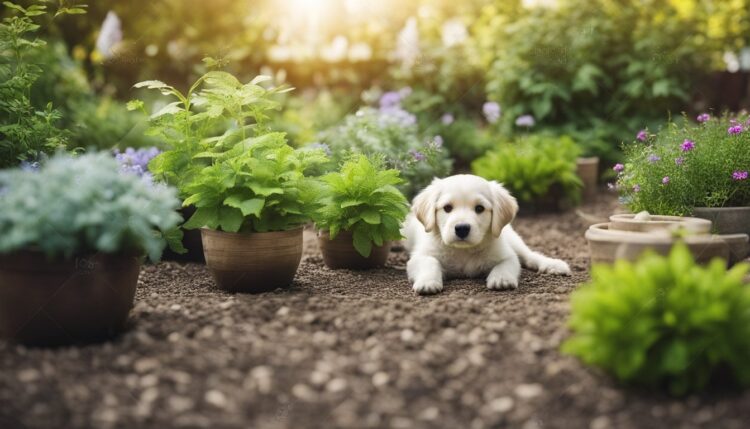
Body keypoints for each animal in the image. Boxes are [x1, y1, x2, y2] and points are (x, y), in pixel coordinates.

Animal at [406, 175, 568, 294]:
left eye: (479, 208)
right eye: (447, 208)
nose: (462, 228)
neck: (463, 251)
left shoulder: (506, 254)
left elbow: (507, 264)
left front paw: (501, 279)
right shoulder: (419, 256)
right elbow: (430, 262)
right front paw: (427, 282)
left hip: (512, 238)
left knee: (529, 255)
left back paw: (553, 265)